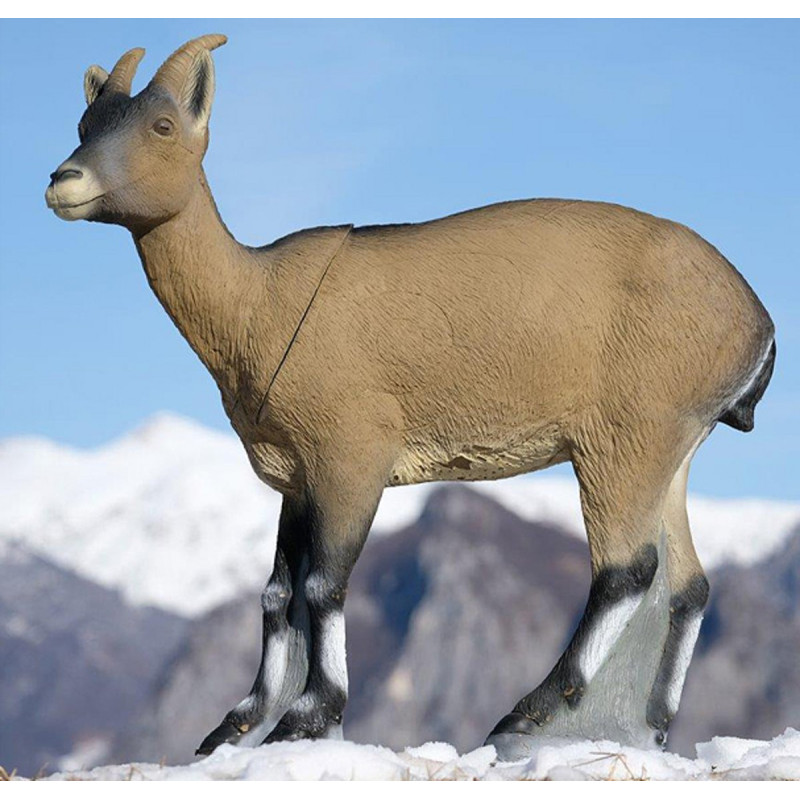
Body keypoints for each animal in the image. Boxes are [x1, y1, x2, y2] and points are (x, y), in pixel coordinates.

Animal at [46, 35, 776, 759]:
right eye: (85, 126)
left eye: (163, 126)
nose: (63, 181)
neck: (257, 302)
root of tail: (756, 324)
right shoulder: (296, 478)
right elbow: (277, 592)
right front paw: (238, 723)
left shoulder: (352, 458)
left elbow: (323, 584)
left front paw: (310, 714)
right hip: (672, 448)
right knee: (689, 583)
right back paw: (650, 724)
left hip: (622, 440)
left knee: (627, 569)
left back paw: (527, 715)